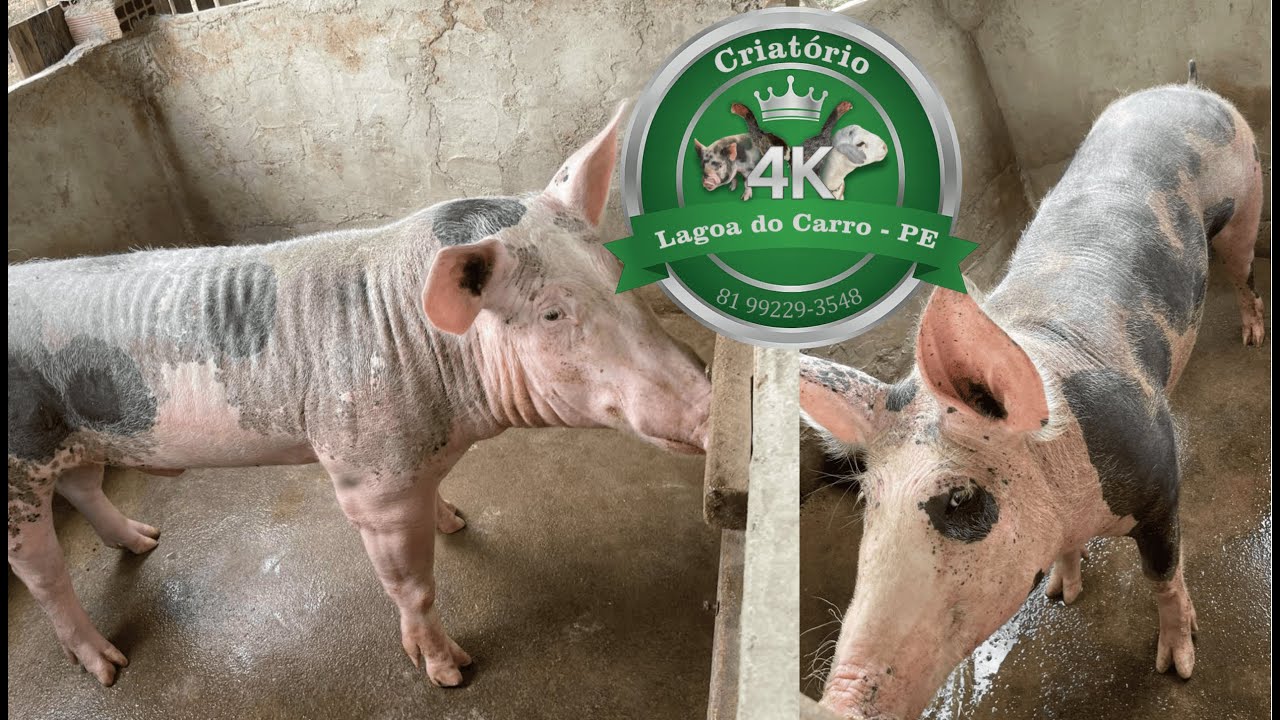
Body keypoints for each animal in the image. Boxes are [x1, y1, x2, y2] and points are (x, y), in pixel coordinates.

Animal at [7, 105, 712, 688]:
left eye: (616, 272)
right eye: (553, 314)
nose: (711, 406)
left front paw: (455, 520)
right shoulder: (369, 478)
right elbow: (414, 587)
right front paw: (451, 672)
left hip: (76, 434)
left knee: (84, 486)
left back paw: (144, 542)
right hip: (20, 462)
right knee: (41, 571)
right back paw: (109, 667)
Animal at [800, 77, 1264, 719]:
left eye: (961, 498)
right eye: (868, 497)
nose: (834, 702)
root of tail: (1188, 87)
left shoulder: (1160, 483)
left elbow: (1163, 576)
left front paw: (1179, 667)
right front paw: (1059, 596)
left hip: (1247, 201)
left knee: (1243, 274)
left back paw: (1252, 337)